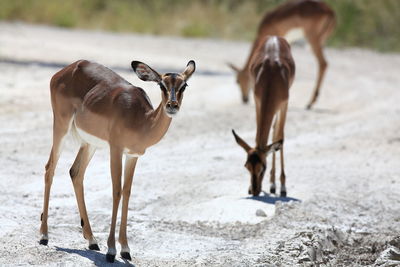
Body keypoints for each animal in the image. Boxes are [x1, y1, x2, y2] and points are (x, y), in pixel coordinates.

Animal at [39, 59, 196, 262]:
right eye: (162, 84)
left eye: (184, 85)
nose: (172, 105)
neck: (141, 120)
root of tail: (68, 68)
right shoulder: (116, 150)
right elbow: (116, 192)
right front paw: (112, 250)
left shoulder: (132, 156)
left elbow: (127, 192)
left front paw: (126, 249)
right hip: (61, 126)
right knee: (50, 168)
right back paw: (44, 236)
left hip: (90, 143)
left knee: (75, 172)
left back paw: (92, 240)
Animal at [233, 36, 296, 197]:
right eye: (247, 166)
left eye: (263, 168)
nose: (255, 191)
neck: (271, 77)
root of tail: (274, 37)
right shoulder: (257, 101)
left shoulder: (284, 104)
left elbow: (280, 137)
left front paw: (282, 187)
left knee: (276, 133)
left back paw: (275, 186)